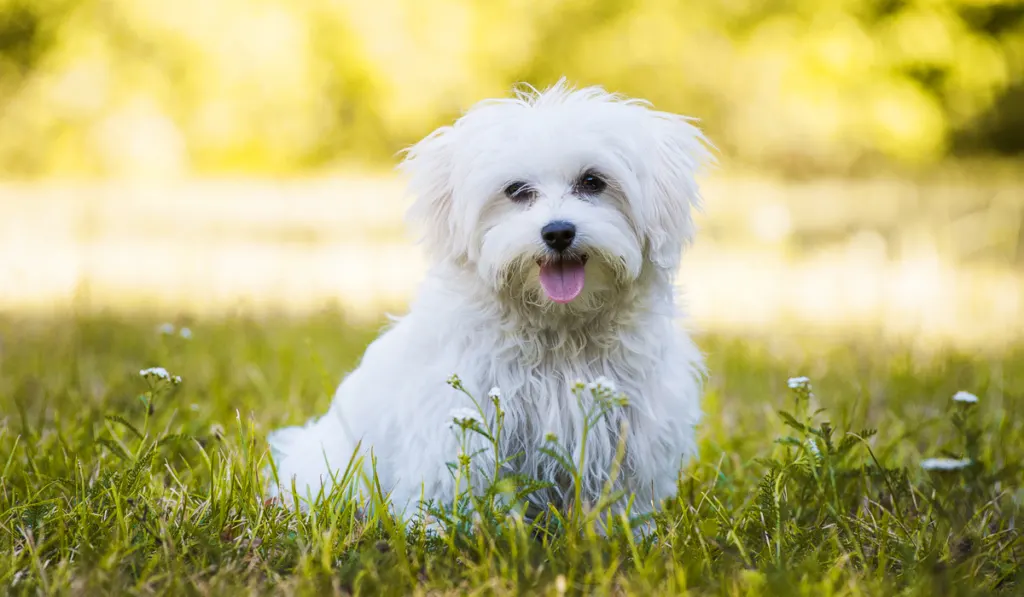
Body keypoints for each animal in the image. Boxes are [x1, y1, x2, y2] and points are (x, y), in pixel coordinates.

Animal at [268, 80, 716, 528]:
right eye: (516, 191)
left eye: (593, 182)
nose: (558, 232)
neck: (559, 329)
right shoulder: (459, 417)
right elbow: (454, 482)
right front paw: (442, 529)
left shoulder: (633, 426)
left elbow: (622, 491)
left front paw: (621, 530)